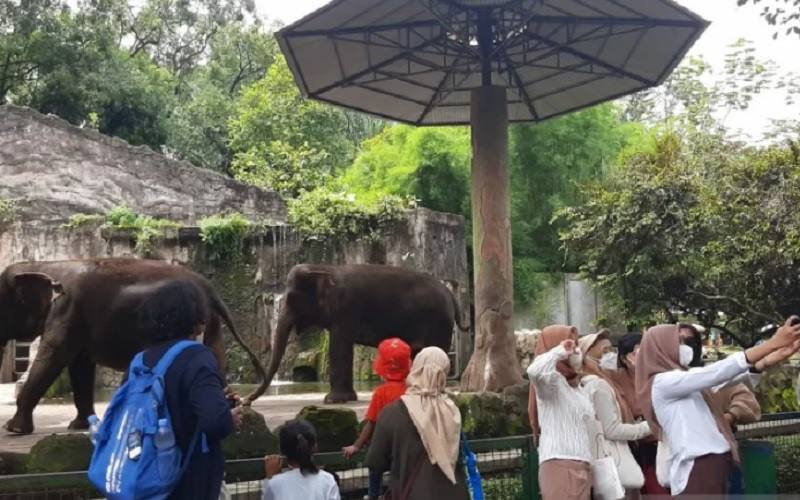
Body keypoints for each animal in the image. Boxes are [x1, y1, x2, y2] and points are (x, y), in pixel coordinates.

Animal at [0, 258, 268, 434]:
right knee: (215, 357)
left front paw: (13, 429)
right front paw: (79, 427)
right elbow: (80, 365)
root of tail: (211, 290)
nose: (9, 427)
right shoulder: (76, 318)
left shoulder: (65, 311)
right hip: (210, 321)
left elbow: (55, 356)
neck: (45, 264)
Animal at [266, 264, 472, 404]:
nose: (251, 400)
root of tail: (450, 293)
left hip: (438, 322)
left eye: (291, 298)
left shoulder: (346, 308)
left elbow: (339, 345)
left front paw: (332, 400)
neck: (325, 268)